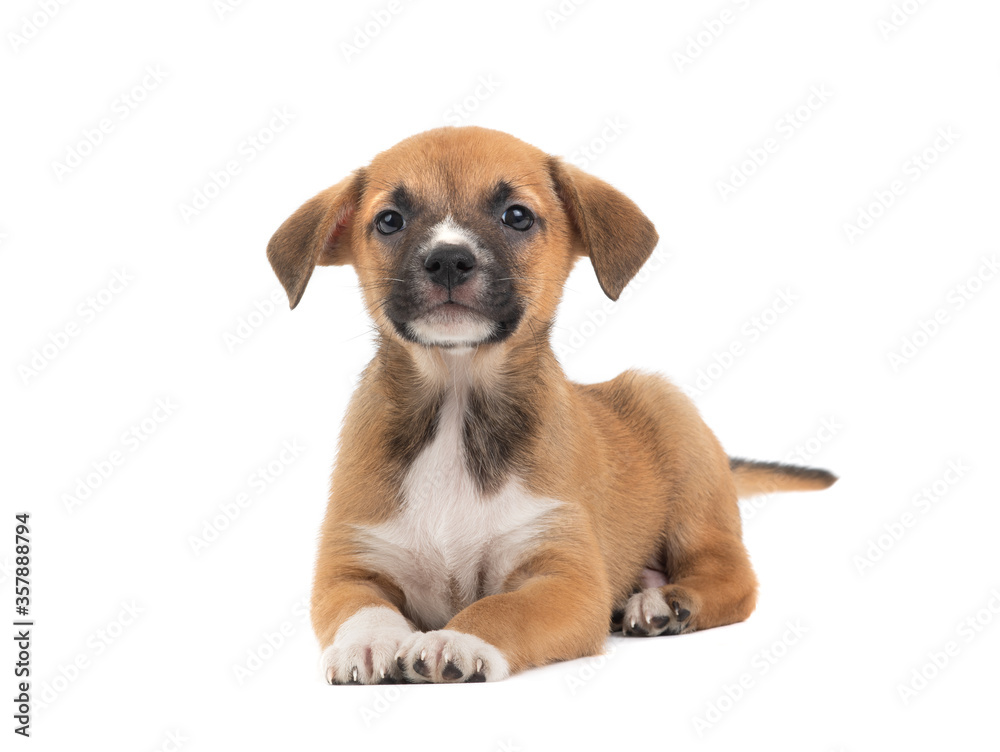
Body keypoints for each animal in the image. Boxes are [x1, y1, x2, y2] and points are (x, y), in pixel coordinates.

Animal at [264, 126, 836, 684]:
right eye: (389, 220)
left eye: (516, 215)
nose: (448, 259)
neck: (457, 401)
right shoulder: (350, 565)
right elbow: (362, 608)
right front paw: (366, 643)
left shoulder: (567, 580)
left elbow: (502, 609)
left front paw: (457, 639)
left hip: (677, 436)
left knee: (731, 577)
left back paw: (666, 602)